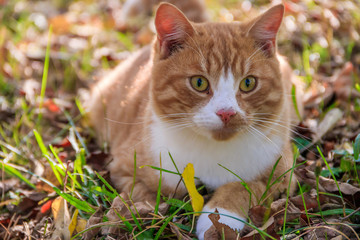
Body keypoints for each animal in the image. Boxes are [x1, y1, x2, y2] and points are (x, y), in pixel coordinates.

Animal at [88, 2, 302, 239]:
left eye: (248, 83)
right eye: (199, 83)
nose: (226, 113)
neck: (212, 150)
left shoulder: (283, 175)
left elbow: (244, 186)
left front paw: (220, 220)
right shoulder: (124, 168)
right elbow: (146, 192)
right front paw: (133, 211)